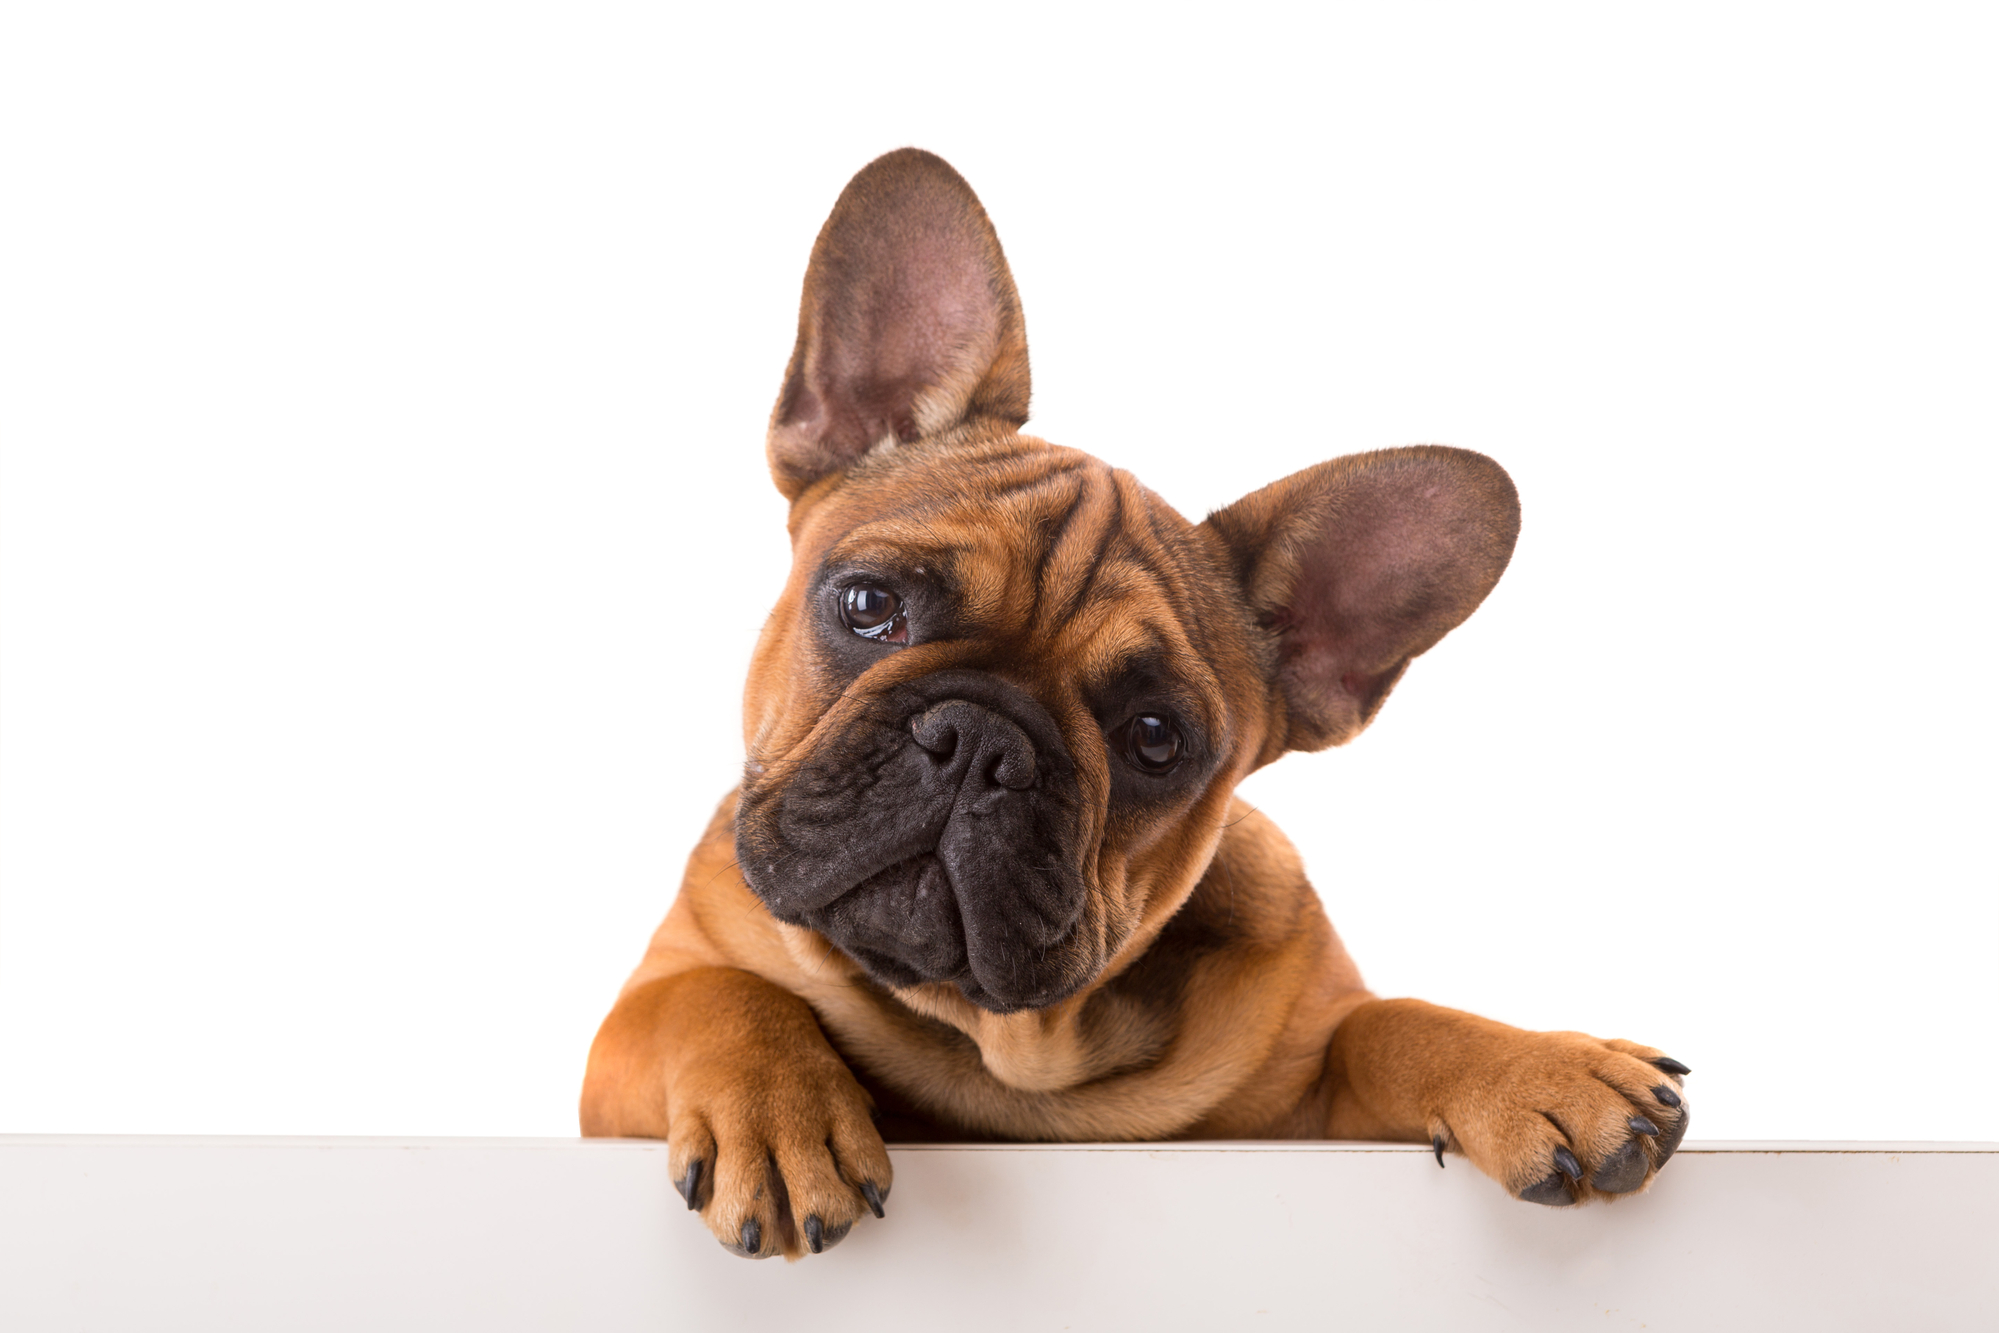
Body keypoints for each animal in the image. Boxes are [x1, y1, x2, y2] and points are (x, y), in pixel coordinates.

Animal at [579, 148, 1687, 1263]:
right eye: (867, 604)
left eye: (1155, 738)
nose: (978, 738)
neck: (1006, 1044)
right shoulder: (623, 1041)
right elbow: (716, 992)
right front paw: (777, 1112)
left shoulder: (1305, 1079)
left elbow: (1386, 1020)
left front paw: (1538, 1066)